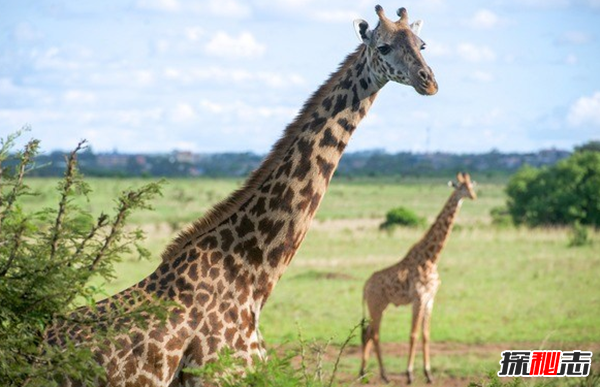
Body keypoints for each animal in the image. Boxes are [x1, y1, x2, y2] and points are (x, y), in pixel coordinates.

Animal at [358, 172, 476, 384]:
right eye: (461, 187)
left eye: (471, 185)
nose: (473, 196)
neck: (431, 258)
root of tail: (365, 286)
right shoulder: (418, 298)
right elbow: (413, 334)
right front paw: (409, 374)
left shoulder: (430, 299)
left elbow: (426, 334)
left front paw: (428, 374)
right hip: (376, 305)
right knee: (375, 334)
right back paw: (384, 375)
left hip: (380, 306)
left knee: (368, 333)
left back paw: (363, 372)